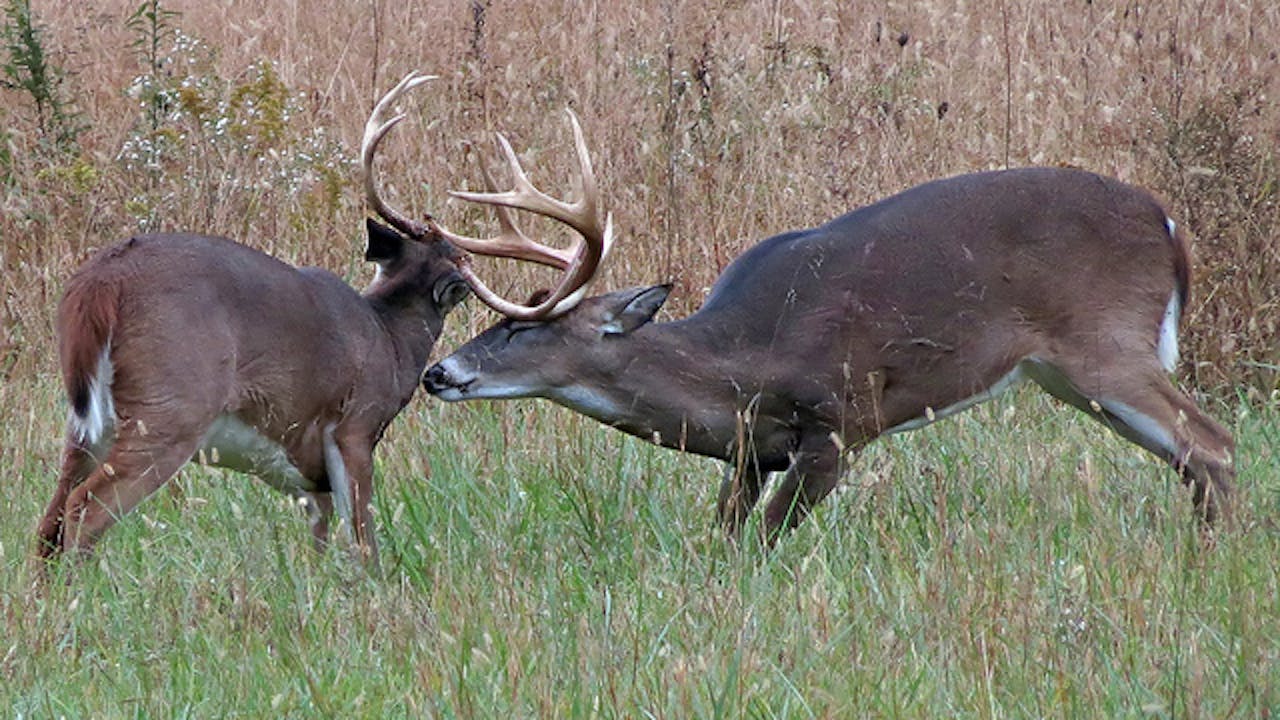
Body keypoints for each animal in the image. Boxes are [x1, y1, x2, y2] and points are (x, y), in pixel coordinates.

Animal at [36, 74, 476, 566]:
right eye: (459, 257)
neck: (389, 336)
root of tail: (99, 283)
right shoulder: (355, 425)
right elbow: (364, 540)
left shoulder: (308, 473)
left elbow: (322, 538)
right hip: (169, 407)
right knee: (83, 511)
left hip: (87, 426)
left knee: (49, 521)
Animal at [417, 116, 1228, 538]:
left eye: (526, 327)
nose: (437, 372)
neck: (738, 362)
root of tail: (1168, 223)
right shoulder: (750, 450)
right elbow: (725, 536)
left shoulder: (841, 418)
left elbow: (765, 540)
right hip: (1063, 373)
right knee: (1188, 455)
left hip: (1106, 342)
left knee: (1211, 441)